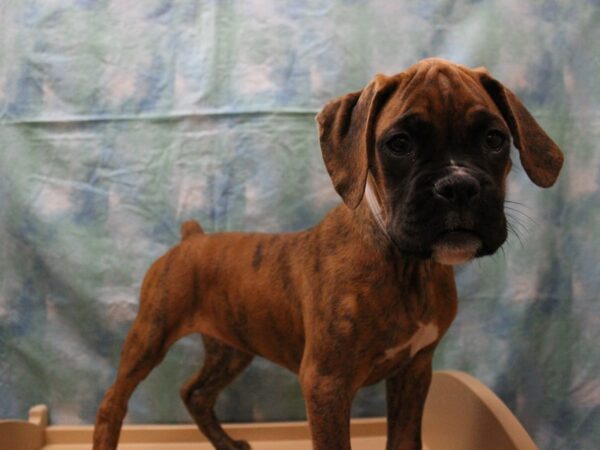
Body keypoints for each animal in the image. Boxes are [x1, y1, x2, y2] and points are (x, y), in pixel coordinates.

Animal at [94, 59, 564, 450]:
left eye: (495, 139)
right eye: (399, 144)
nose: (458, 185)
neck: (406, 265)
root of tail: (192, 238)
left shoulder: (415, 371)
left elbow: (405, 441)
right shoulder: (326, 385)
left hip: (233, 347)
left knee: (195, 394)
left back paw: (227, 444)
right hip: (151, 333)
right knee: (112, 401)